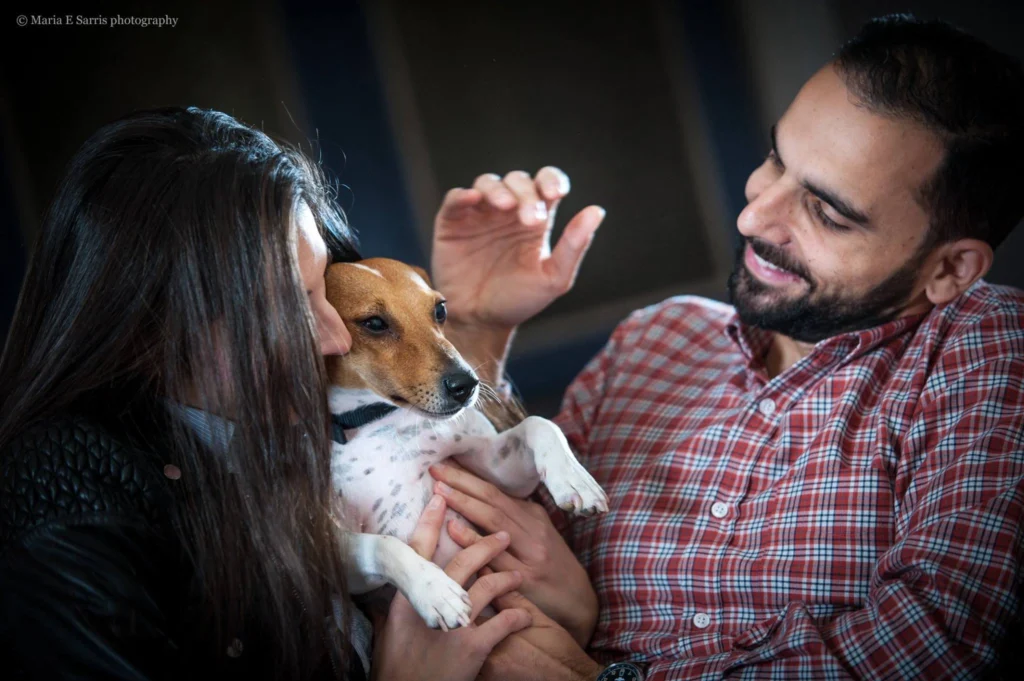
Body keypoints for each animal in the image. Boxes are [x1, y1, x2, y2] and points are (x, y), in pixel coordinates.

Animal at [321, 258, 606, 630]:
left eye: (439, 310)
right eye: (374, 323)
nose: (466, 385)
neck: (378, 423)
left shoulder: (500, 471)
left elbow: (540, 425)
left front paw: (574, 480)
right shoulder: (342, 563)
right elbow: (381, 546)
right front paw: (433, 589)